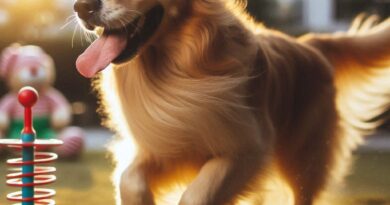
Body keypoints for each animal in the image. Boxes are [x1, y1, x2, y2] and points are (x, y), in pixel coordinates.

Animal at [74, 0, 390, 204]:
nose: (80, 7)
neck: (176, 71)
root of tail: (310, 43)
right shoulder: (165, 145)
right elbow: (129, 179)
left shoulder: (246, 150)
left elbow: (196, 195)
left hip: (304, 159)